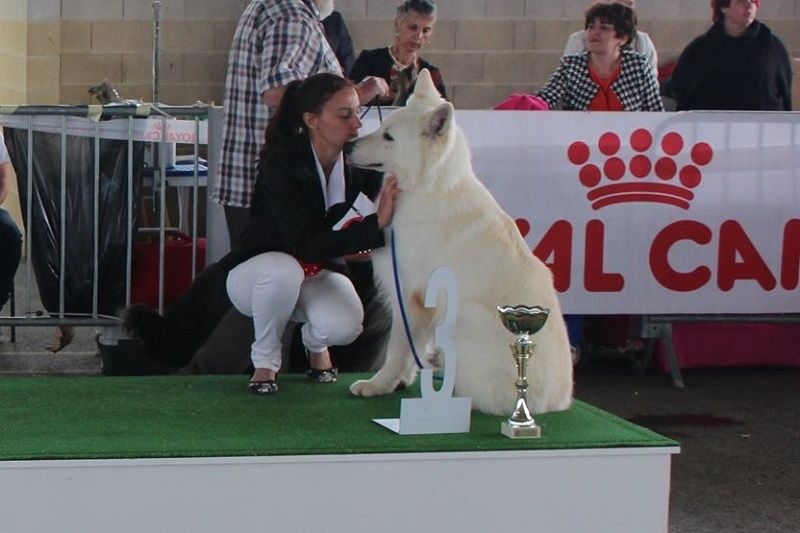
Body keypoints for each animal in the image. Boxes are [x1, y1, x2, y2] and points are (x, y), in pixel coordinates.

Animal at [347, 69, 573, 416]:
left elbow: (397, 347)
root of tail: (556, 402)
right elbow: (411, 347)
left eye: (389, 137)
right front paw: (404, 379)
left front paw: (378, 384)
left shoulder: (411, 296)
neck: (427, 189)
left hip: (464, 315)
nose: (347, 146)